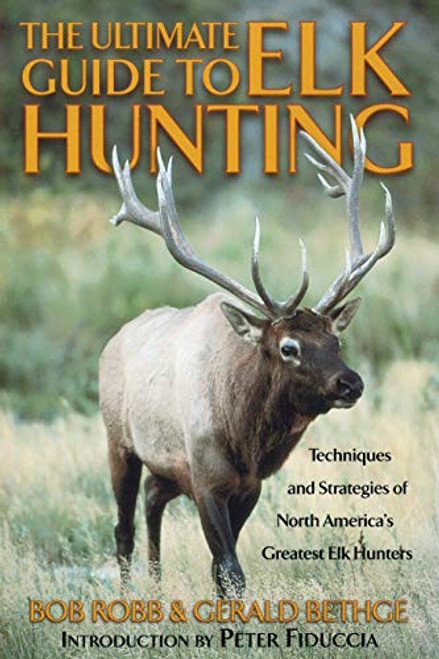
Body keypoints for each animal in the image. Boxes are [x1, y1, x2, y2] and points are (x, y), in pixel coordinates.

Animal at [99, 117, 395, 597]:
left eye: (336, 341)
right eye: (289, 347)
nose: (351, 383)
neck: (245, 438)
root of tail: (113, 339)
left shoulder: (249, 486)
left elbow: (220, 571)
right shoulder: (206, 478)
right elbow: (232, 570)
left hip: (164, 468)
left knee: (151, 500)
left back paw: (157, 587)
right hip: (118, 442)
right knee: (123, 527)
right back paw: (129, 595)